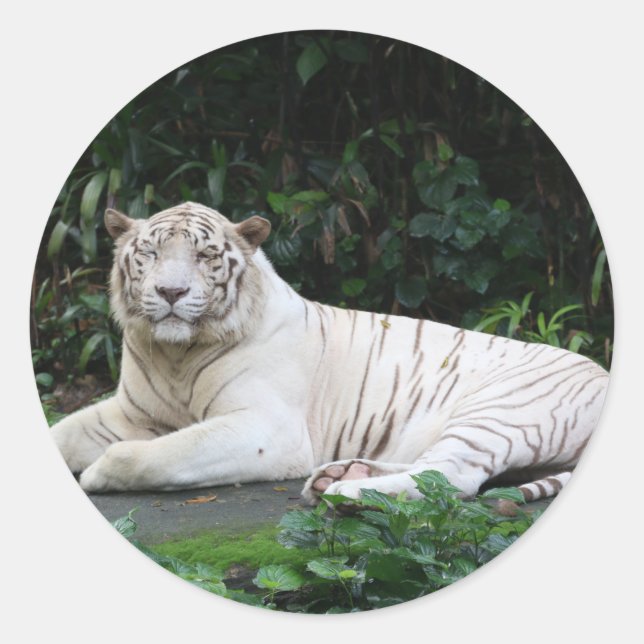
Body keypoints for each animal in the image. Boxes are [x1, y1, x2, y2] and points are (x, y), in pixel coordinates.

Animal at [49, 201, 609, 507]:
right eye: (150, 253)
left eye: (205, 255)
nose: (169, 292)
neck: (176, 354)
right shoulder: (132, 412)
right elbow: (64, 433)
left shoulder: (268, 429)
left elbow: (153, 453)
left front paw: (96, 475)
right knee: (432, 464)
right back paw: (340, 476)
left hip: (500, 411)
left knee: (454, 476)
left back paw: (346, 494)